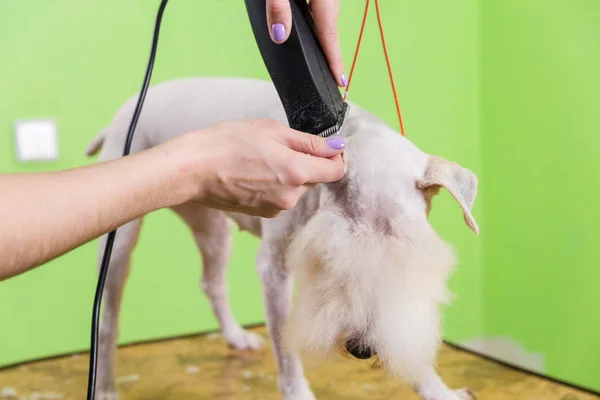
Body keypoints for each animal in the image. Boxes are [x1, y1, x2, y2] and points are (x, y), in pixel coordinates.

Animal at [86, 77, 478, 400]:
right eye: (331, 258)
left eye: (402, 258)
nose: (361, 349)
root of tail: (124, 113)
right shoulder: (275, 269)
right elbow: (285, 346)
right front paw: (298, 392)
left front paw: (438, 390)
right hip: (119, 242)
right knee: (106, 322)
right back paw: (105, 387)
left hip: (212, 226)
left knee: (212, 282)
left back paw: (236, 336)